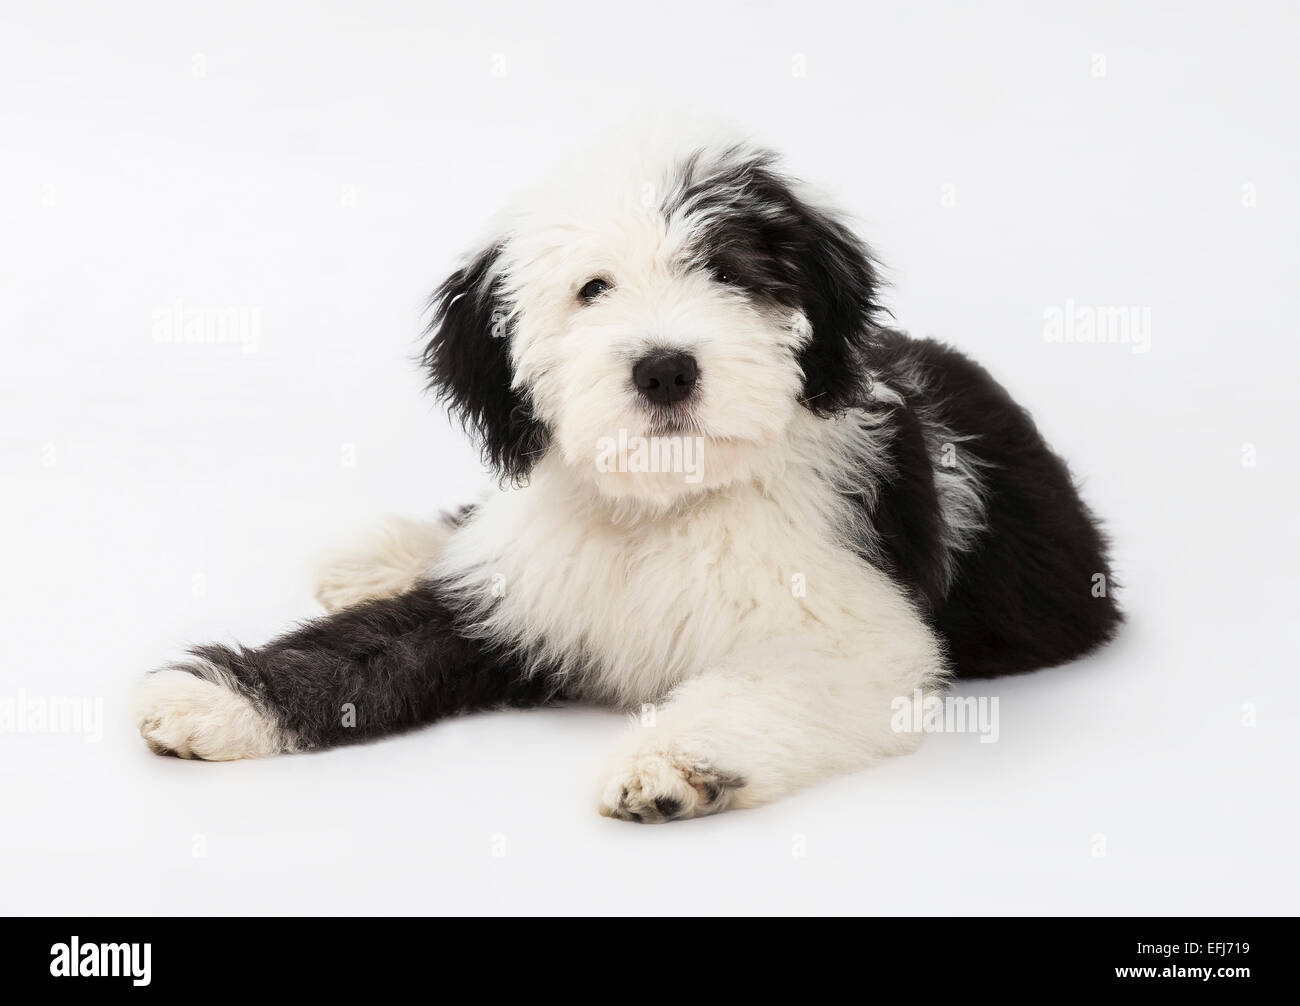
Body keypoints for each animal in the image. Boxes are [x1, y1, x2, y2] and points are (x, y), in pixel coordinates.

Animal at [137, 122, 1123, 821]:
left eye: (727, 271)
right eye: (593, 289)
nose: (665, 369)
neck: (664, 508)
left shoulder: (855, 633)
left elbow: (767, 684)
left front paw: (677, 764)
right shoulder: (514, 594)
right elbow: (369, 650)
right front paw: (215, 702)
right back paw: (378, 556)